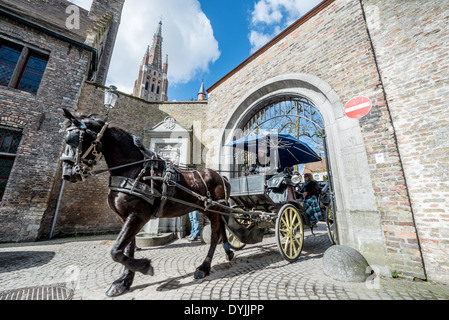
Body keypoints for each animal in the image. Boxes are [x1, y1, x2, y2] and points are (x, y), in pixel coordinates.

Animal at [60, 109, 233, 298]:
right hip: (211, 209)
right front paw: (123, 282)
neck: (133, 170)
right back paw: (228, 252)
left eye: (75, 139)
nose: (67, 174)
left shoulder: (138, 215)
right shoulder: (124, 217)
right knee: (221, 229)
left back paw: (204, 267)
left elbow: (116, 251)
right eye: (65, 140)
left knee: (215, 234)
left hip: (214, 209)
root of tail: (221, 176)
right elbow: (127, 248)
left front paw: (144, 266)